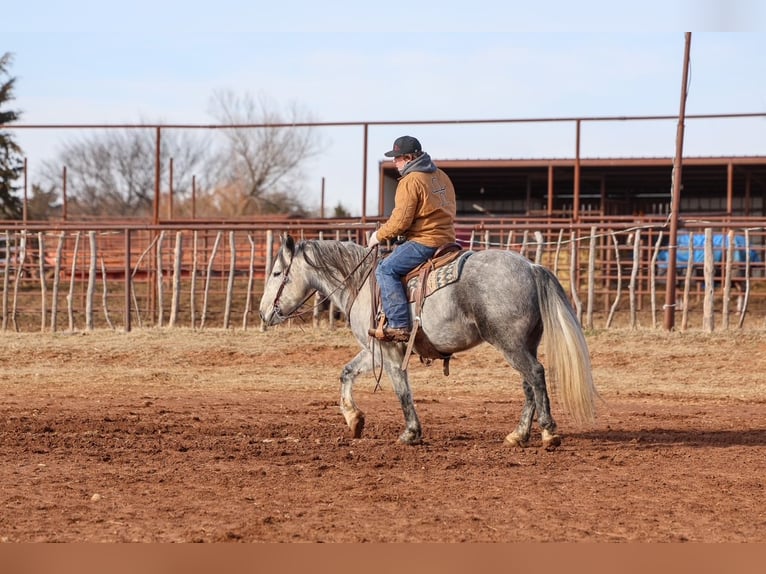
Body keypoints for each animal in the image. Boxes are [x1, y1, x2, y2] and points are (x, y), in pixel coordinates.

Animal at [259, 234, 598, 449]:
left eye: (276, 273)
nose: (263, 313)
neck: (361, 283)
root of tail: (531, 267)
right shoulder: (375, 350)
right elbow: (346, 373)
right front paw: (354, 420)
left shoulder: (390, 352)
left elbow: (402, 391)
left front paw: (410, 433)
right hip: (522, 344)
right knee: (528, 384)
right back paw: (518, 435)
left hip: (511, 344)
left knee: (536, 375)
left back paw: (548, 433)